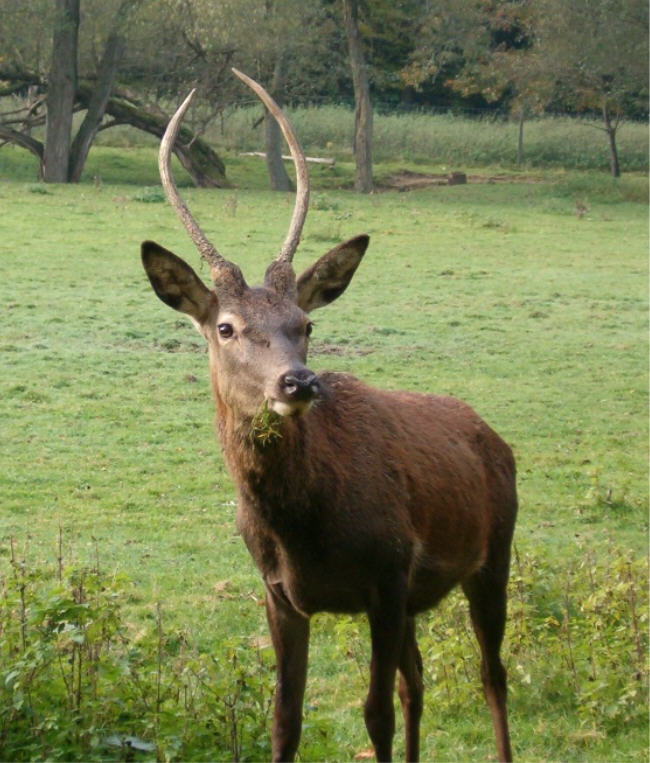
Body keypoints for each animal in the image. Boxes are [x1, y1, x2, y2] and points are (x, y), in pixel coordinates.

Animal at [142, 68, 516, 760]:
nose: (299, 381)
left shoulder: (389, 573)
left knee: (490, 674)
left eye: (306, 323)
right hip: (425, 594)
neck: (303, 529)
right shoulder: (280, 594)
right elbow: (285, 718)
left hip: (494, 552)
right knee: (418, 679)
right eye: (226, 327)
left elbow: (375, 714)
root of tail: (494, 438)